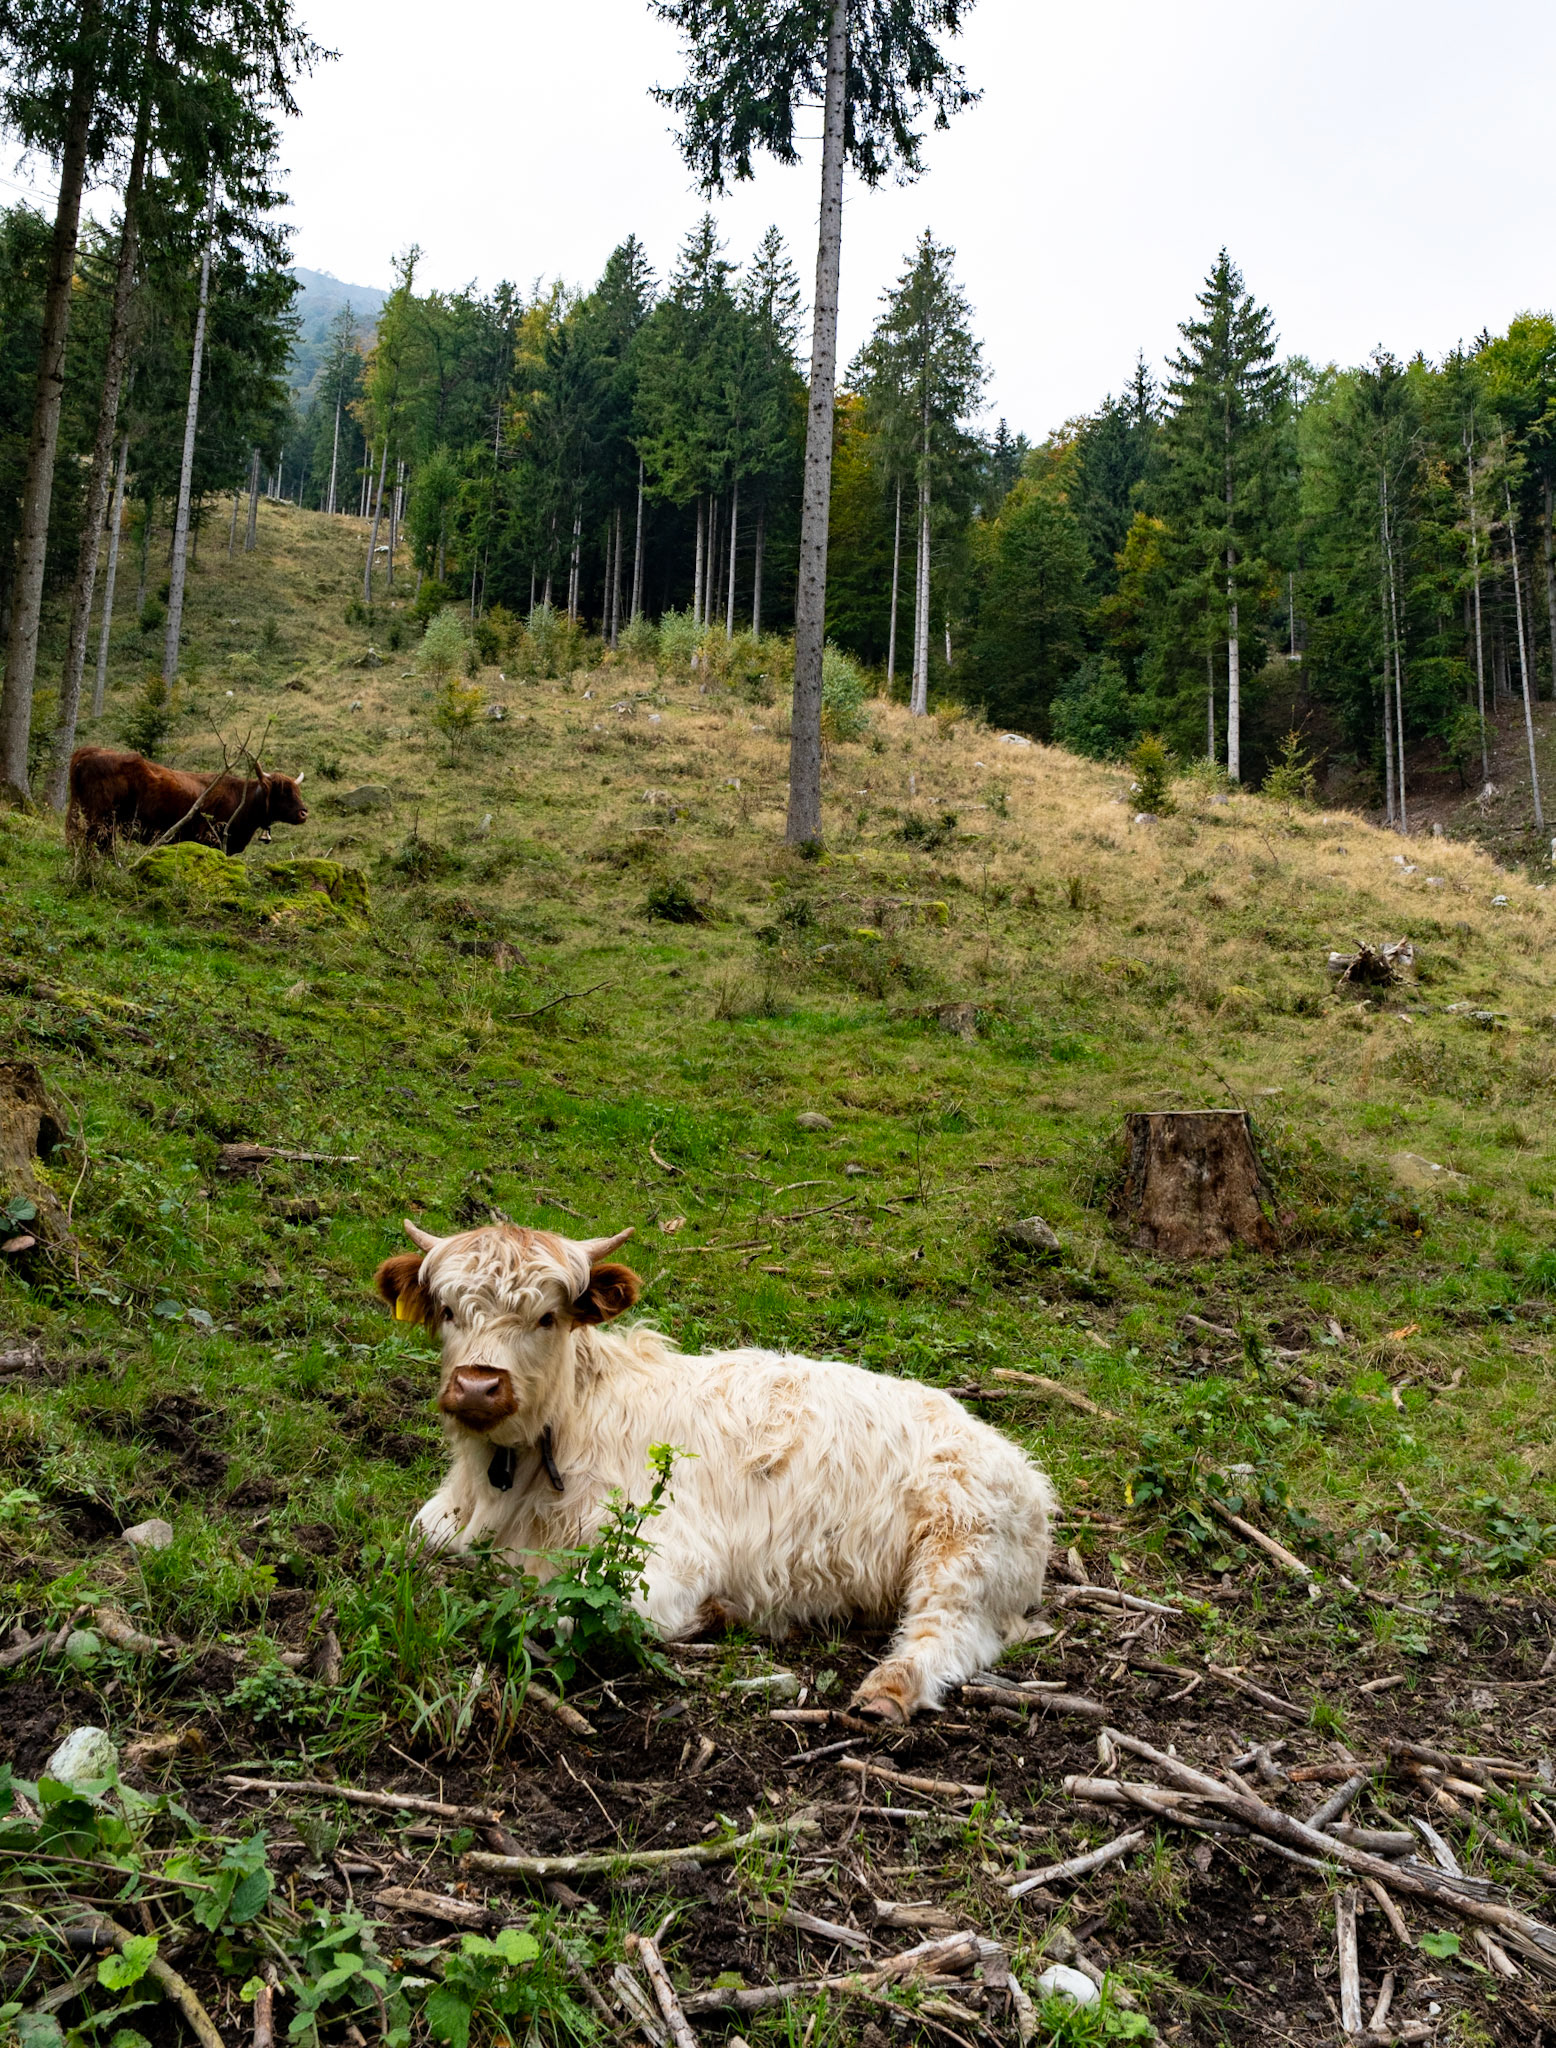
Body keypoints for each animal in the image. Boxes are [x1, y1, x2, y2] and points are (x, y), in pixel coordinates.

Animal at [66, 747, 307, 855]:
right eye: (283, 792)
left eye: (297, 790)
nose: (304, 812)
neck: (243, 800)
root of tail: (89, 751)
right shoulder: (210, 839)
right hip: (102, 818)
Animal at [376, 1221, 1056, 1721]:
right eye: (447, 1310)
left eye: (547, 1316)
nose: (477, 1386)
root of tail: (1022, 1468)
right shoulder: (436, 1523)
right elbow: (417, 1542)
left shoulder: (663, 1558)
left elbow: (569, 1612)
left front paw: (714, 1613)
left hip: (962, 1551)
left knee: (949, 1632)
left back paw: (889, 1690)